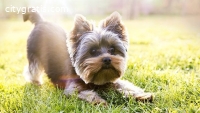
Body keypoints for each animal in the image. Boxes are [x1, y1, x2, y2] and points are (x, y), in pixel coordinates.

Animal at [22, 8, 153, 105]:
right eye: (93, 50)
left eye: (112, 49)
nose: (107, 59)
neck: (96, 80)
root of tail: (40, 21)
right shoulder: (73, 89)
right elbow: (87, 93)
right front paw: (100, 102)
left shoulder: (111, 81)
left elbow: (126, 86)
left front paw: (141, 95)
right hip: (33, 54)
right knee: (32, 69)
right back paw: (35, 81)